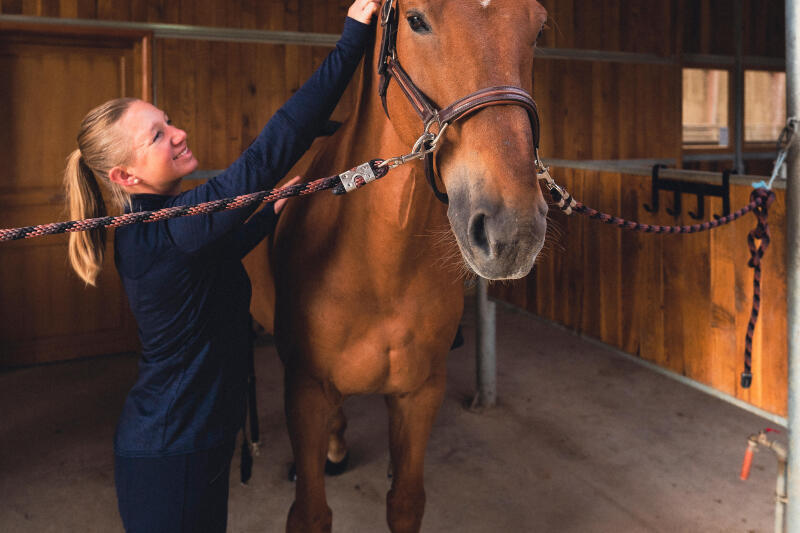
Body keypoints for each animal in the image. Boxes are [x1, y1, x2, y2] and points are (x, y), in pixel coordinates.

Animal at [256, 2, 552, 528]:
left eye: (538, 28)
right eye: (416, 20)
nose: (512, 230)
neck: (379, 271)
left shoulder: (419, 395)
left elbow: (406, 502)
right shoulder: (305, 389)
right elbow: (310, 513)